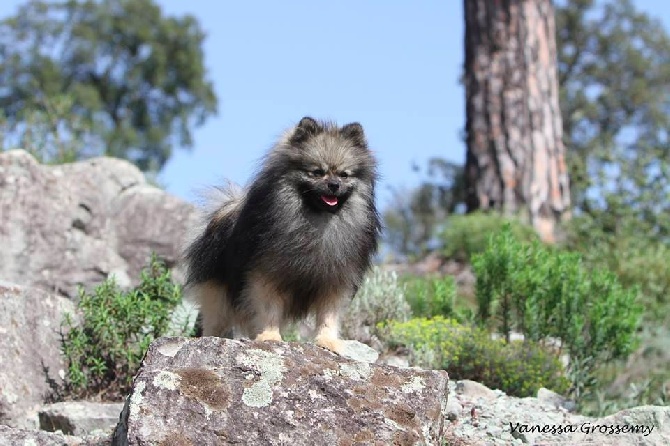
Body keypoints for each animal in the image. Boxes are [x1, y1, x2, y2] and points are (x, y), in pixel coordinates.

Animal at [184, 116, 380, 354]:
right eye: (317, 172)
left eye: (344, 174)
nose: (334, 185)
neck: (317, 220)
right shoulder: (266, 275)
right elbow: (270, 309)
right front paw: (270, 336)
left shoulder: (335, 281)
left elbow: (328, 315)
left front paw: (327, 341)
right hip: (219, 295)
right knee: (215, 321)